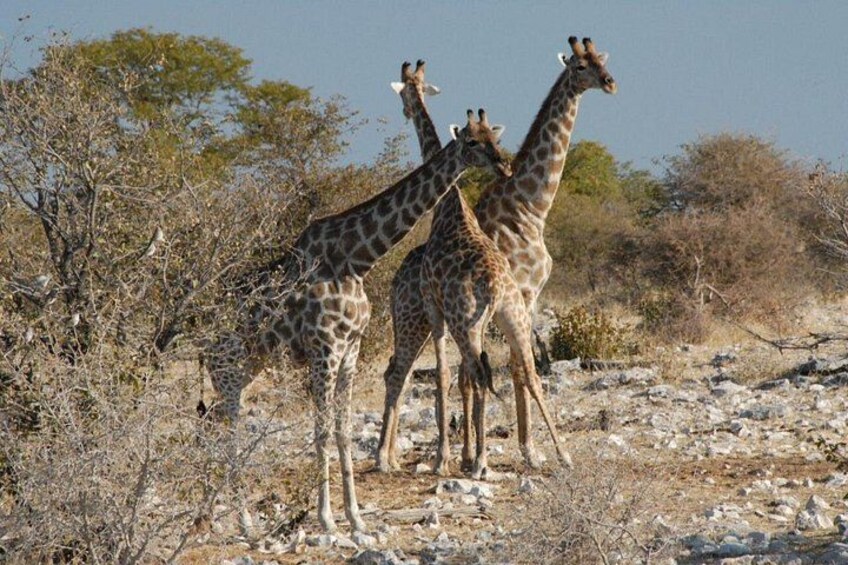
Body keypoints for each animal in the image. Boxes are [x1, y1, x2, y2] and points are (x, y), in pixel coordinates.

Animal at [205, 94, 512, 533]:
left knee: (211, 424)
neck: (357, 259)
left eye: (493, 137)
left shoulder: (350, 350)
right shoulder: (324, 351)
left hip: (245, 367)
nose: (504, 164)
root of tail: (201, 328)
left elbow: (343, 432)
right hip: (228, 367)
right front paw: (327, 520)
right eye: (471, 142)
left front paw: (355, 518)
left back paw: (210, 516)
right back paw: (245, 522)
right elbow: (320, 432)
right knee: (227, 432)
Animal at [377, 36, 616, 473]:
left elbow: (506, 371)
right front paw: (518, 449)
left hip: (432, 322)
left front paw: (514, 450)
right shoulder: (522, 294)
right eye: (579, 66)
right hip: (415, 319)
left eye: (599, 61)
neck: (530, 205)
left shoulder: (527, 298)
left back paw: (394, 455)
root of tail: (396, 277)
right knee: (401, 371)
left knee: (404, 372)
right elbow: (502, 371)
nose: (610, 82)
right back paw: (389, 456)